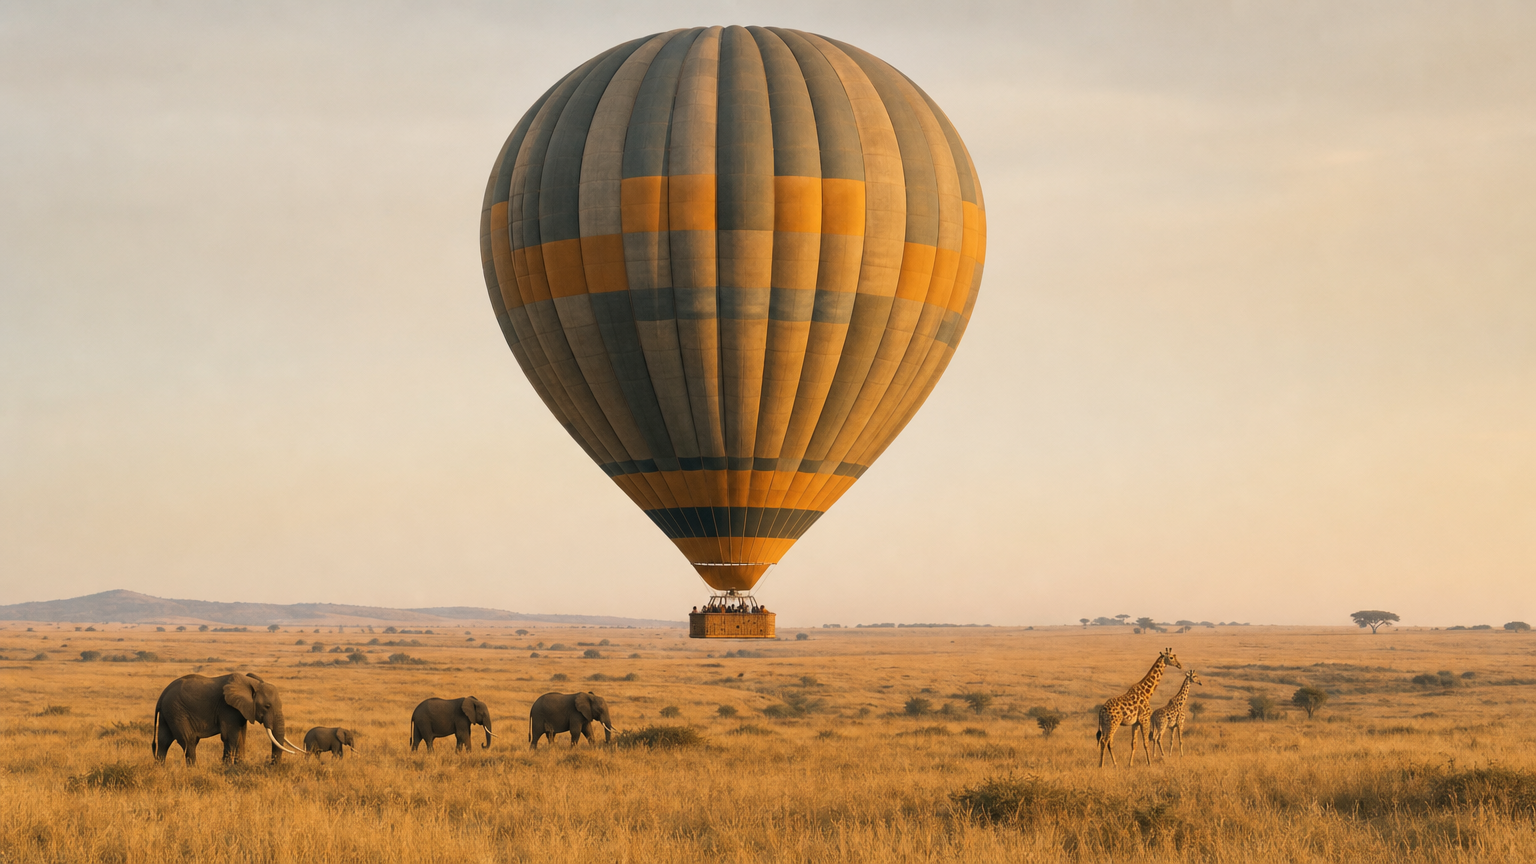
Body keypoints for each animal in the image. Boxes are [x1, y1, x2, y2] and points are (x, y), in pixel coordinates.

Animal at [153, 672, 303, 765]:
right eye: (267, 706)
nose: (271, 765)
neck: (252, 683)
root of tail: (162, 695)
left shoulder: (242, 710)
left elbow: (242, 737)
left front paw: (239, 766)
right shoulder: (227, 708)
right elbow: (231, 737)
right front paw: (227, 767)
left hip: (168, 713)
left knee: (164, 741)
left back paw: (161, 769)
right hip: (177, 711)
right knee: (189, 741)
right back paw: (194, 769)